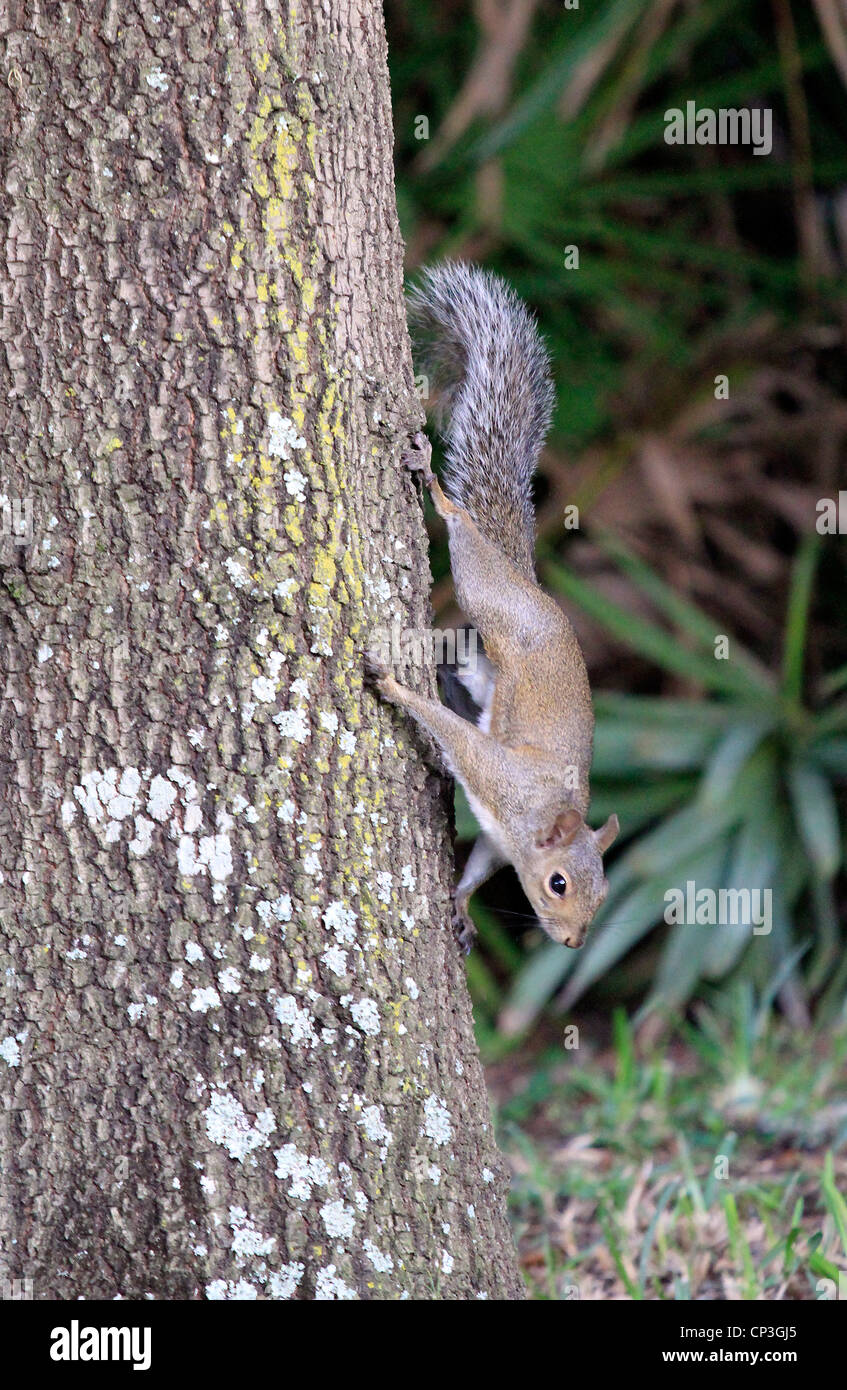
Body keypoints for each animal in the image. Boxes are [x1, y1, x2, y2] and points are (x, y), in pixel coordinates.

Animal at [367, 261, 617, 950]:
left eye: (603, 894)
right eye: (558, 884)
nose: (573, 942)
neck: (534, 819)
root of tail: (528, 585)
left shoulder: (499, 844)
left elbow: (478, 866)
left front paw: (459, 905)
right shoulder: (497, 776)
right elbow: (449, 734)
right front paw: (396, 690)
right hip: (487, 594)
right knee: (464, 542)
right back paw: (442, 495)